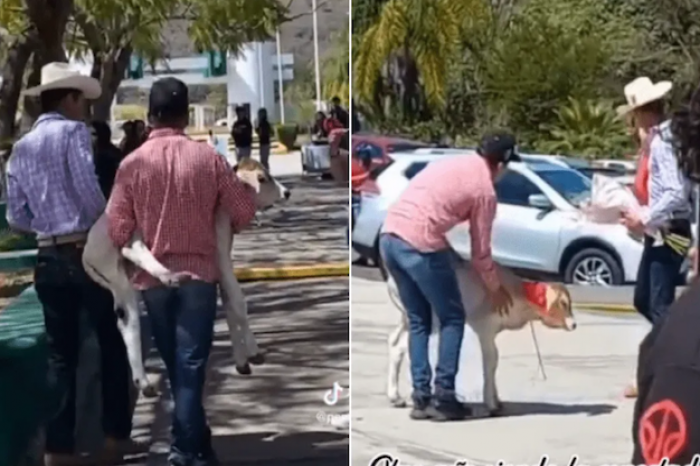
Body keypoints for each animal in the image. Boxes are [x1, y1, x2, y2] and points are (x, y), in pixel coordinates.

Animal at [82, 158, 290, 396]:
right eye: (262, 178)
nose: (286, 192)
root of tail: (87, 253)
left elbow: (229, 304)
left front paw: (242, 362)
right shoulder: (220, 258)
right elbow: (238, 302)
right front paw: (255, 354)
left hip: (122, 284)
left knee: (128, 323)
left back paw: (144, 383)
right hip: (129, 240)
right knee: (133, 249)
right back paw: (168, 275)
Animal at [386, 258, 576, 416]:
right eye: (563, 303)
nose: (574, 324)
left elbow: (494, 363)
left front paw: (498, 401)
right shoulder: (485, 331)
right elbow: (490, 362)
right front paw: (491, 405)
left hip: (406, 320)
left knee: (393, 342)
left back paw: (396, 398)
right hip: (428, 322)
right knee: (400, 348)